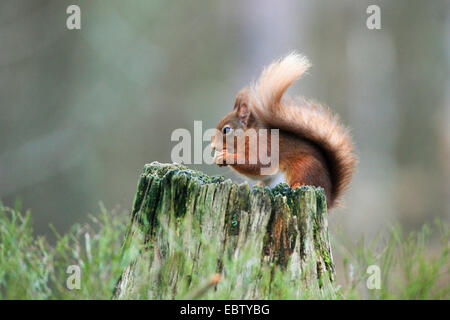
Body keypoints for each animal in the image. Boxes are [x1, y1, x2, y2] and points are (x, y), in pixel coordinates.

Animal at [213, 52, 356, 209]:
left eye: (226, 129)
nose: (213, 146)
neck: (249, 137)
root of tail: (328, 198)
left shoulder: (265, 148)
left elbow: (256, 164)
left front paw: (225, 156)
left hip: (305, 167)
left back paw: (297, 185)